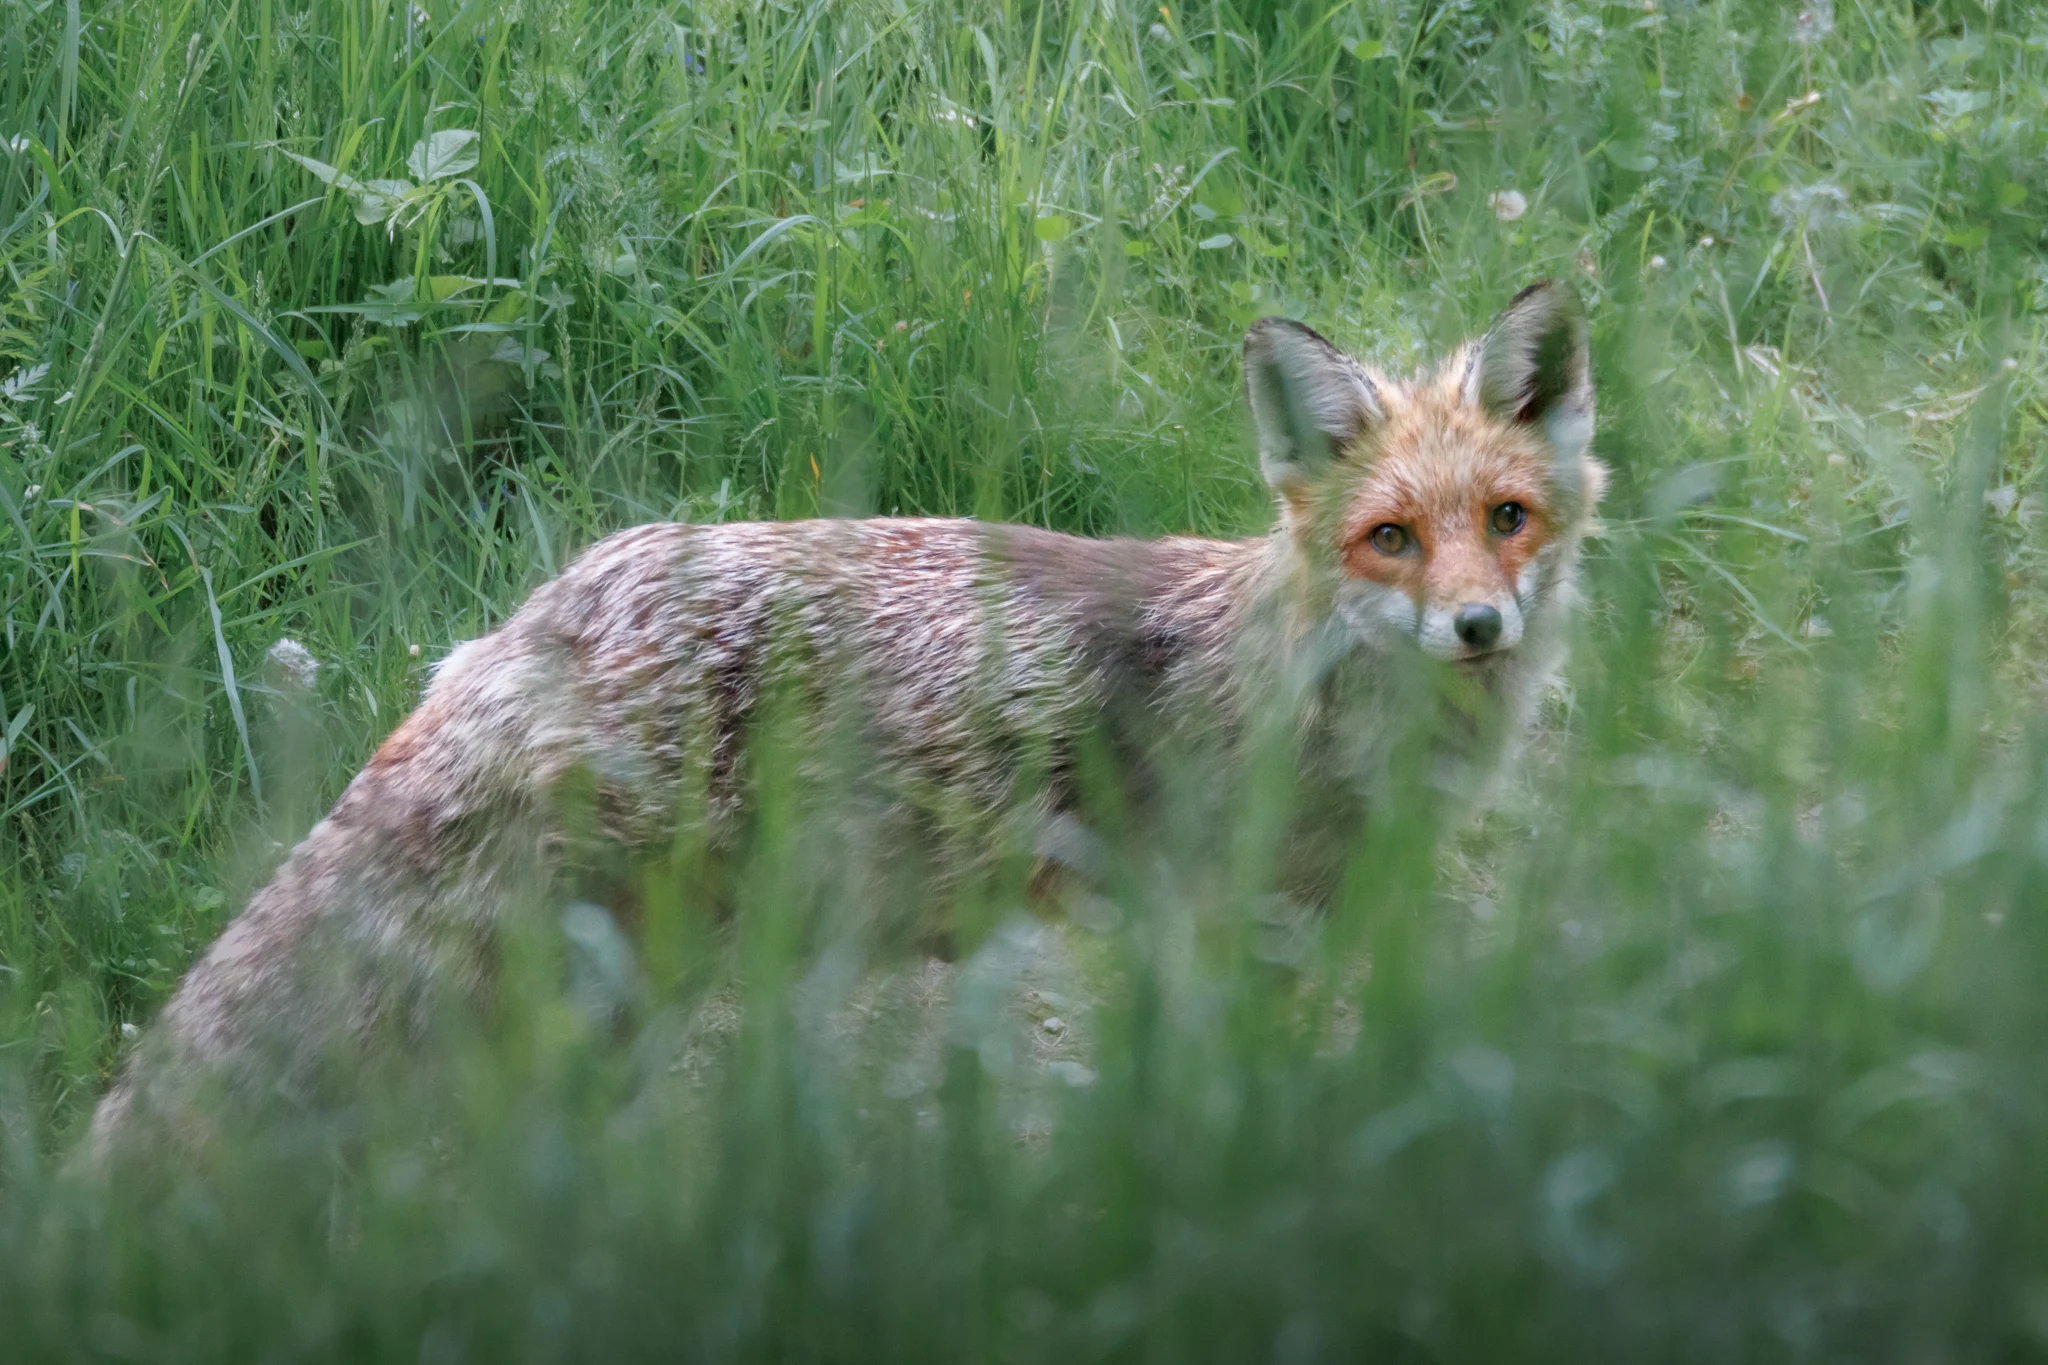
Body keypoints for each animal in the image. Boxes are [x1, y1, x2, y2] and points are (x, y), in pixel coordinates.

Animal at [87, 280, 1604, 1157]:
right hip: (592, 980)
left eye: (1505, 520)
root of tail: (540, 609)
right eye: (1389, 539)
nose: (1479, 629)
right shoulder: (1214, 926)